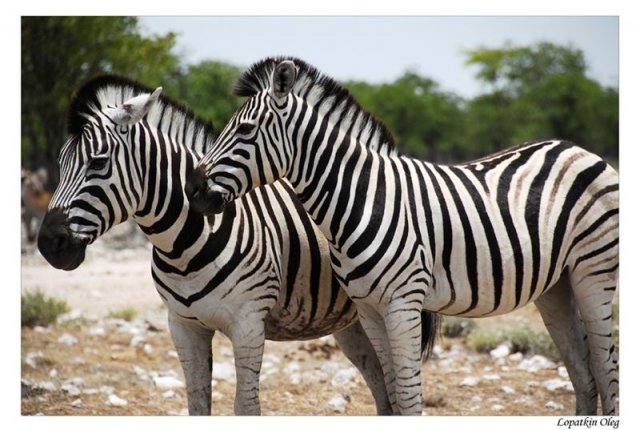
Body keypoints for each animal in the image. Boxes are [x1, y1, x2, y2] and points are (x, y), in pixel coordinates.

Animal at [35, 75, 438, 414]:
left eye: (98, 163)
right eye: (60, 163)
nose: (48, 244)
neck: (183, 245)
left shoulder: (248, 322)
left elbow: (246, 406)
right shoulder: (182, 325)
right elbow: (197, 405)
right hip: (354, 320)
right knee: (383, 391)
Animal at [186, 58, 620, 416]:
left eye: (244, 129)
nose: (191, 189)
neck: (359, 200)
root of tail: (575, 148)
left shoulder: (403, 302)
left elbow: (409, 398)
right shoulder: (370, 309)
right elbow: (394, 393)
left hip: (594, 271)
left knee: (605, 366)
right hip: (556, 285)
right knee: (584, 375)